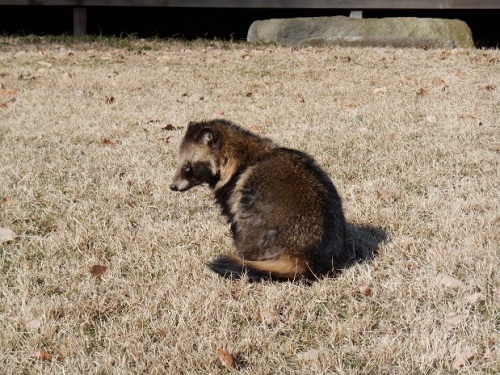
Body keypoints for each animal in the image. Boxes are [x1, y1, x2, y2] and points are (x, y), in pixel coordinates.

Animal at [170, 119, 350, 280]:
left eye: (187, 168)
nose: (172, 186)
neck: (240, 155)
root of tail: (305, 257)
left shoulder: (232, 192)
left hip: (260, 226)